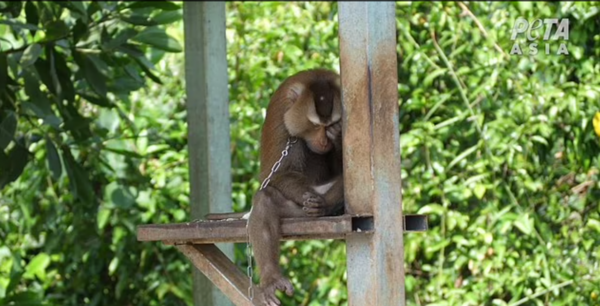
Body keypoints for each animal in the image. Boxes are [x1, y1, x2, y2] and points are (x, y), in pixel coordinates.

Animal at [247, 69, 344, 306]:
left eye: (329, 126)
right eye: (316, 126)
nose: (324, 141)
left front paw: (338, 136)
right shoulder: (280, 115)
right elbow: (275, 175)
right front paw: (311, 198)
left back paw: (325, 207)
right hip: (295, 212)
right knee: (265, 199)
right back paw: (272, 279)